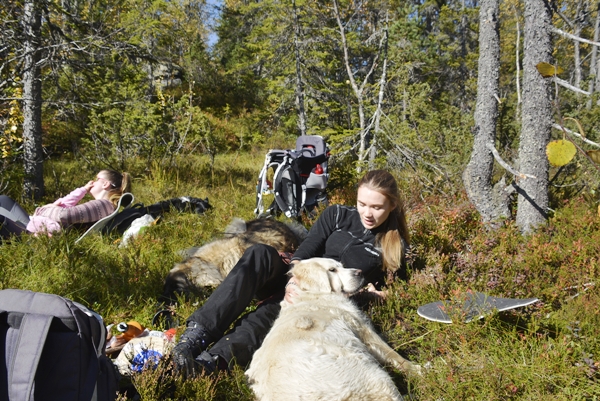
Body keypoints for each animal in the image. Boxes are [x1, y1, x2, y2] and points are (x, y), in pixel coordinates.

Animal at [246, 258, 420, 398]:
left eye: (341, 266)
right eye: (332, 270)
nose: (359, 272)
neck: (313, 293)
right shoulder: (361, 328)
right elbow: (392, 354)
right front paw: (418, 370)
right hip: (374, 377)